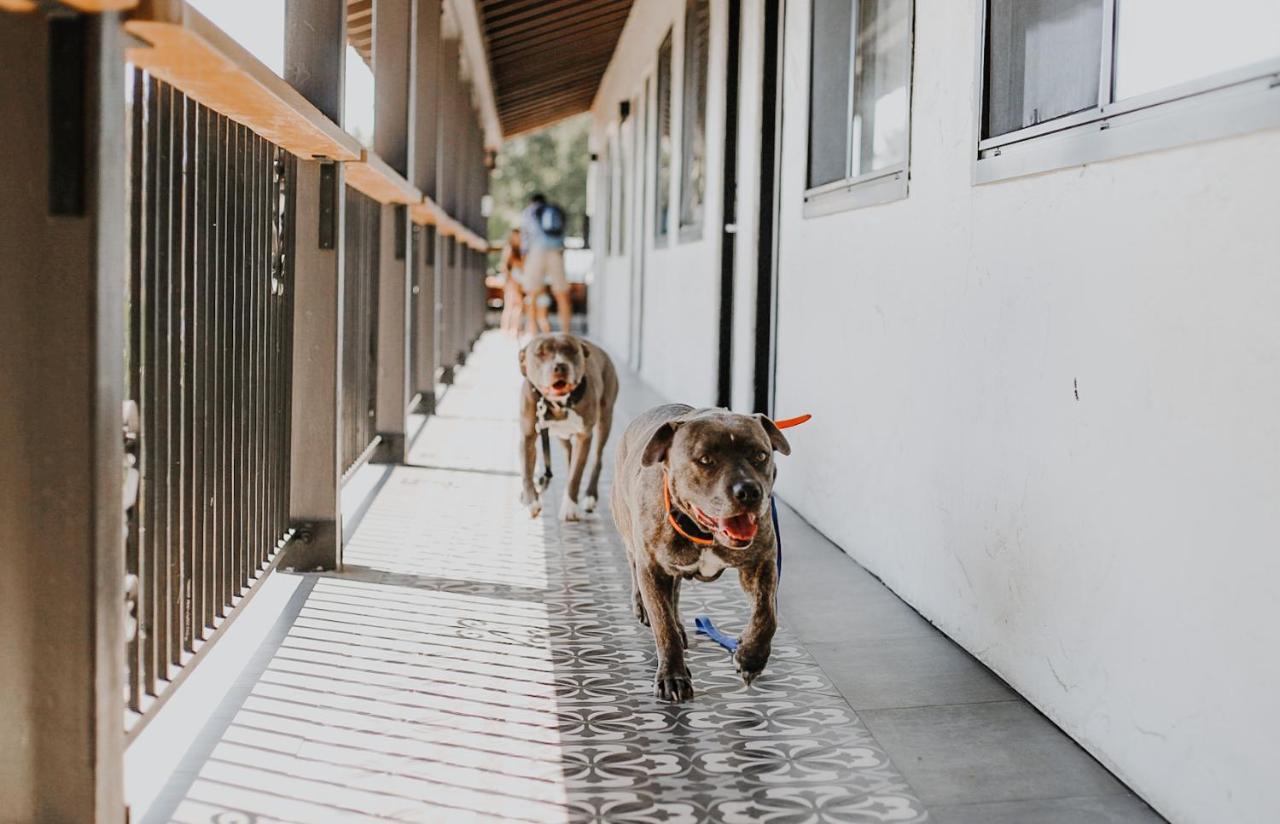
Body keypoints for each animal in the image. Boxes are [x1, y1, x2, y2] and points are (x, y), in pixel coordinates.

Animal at [519, 332, 619, 519]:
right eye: (540, 353)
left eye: (572, 351)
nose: (560, 366)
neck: (557, 404)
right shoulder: (527, 436)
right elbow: (527, 471)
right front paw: (531, 500)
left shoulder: (584, 436)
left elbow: (576, 475)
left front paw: (570, 507)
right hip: (561, 436)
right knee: (569, 453)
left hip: (605, 419)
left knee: (597, 458)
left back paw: (590, 496)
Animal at [611, 401, 788, 696]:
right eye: (705, 460)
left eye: (761, 455)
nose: (749, 491)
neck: (701, 530)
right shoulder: (653, 569)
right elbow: (664, 627)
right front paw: (673, 676)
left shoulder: (761, 562)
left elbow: (766, 614)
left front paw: (750, 657)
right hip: (630, 534)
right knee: (635, 565)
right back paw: (643, 607)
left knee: (675, 593)